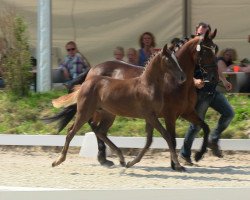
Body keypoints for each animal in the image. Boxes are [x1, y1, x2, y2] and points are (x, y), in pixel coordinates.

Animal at [46, 29, 218, 170]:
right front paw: (176, 164)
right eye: (205, 51)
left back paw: (114, 159)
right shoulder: (168, 115)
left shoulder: (185, 112)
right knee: (82, 129)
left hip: (108, 113)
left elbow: (205, 127)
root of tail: (91, 71)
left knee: (98, 129)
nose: (213, 77)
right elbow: (170, 138)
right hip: (90, 111)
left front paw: (198, 155)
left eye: (215, 49)